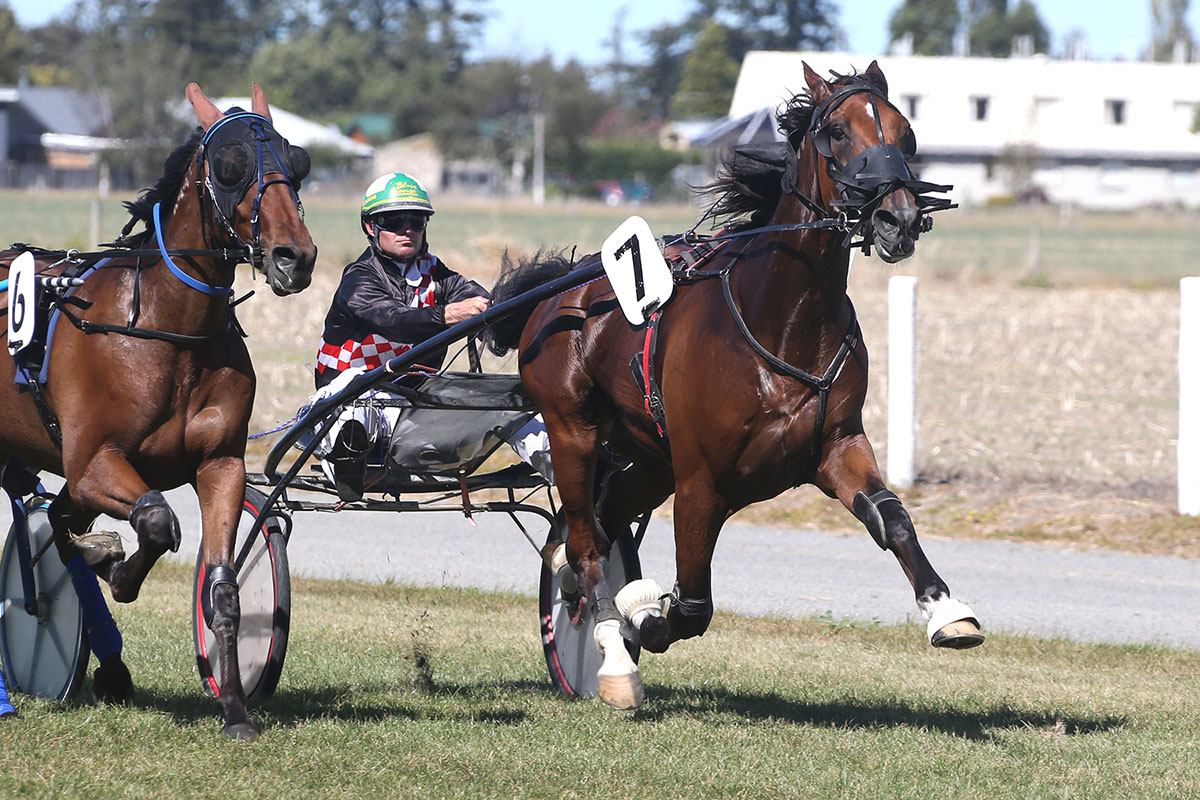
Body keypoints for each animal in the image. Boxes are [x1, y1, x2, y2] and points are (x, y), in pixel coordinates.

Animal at [0, 83, 316, 738]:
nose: (293, 256)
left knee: (58, 519)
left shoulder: (219, 465)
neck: (167, 329)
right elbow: (155, 520)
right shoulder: (92, 462)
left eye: (297, 163)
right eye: (230, 165)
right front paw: (117, 569)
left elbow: (222, 588)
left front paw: (235, 709)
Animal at [484, 61, 982, 710]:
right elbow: (691, 606)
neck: (783, 320)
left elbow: (890, 518)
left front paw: (948, 610)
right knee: (588, 549)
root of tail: (562, 287)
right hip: (575, 430)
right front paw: (642, 615)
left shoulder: (836, 446)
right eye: (837, 132)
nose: (897, 217)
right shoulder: (702, 478)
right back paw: (612, 655)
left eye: (907, 133)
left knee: (589, 527)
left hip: (649, 459)